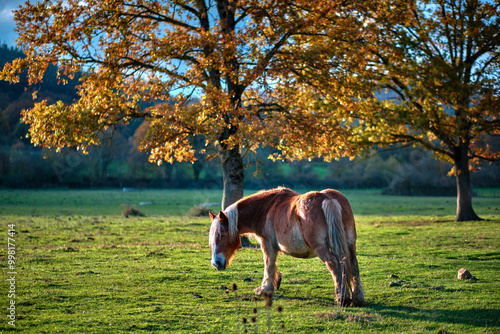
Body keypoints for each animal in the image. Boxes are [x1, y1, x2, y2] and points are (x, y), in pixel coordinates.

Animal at [207, 187, 364, 306]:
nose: (216, 263)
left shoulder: (267, 244)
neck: (265, 208)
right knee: (353, 265)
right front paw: (275, 282)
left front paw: (265, 288)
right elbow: (272, 264)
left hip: (321, 248)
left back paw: (342, 298)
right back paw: (357, 298)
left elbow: (268, 265)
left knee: (334, 264)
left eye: (222, 234)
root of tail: (327, 199)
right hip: (350, 244)